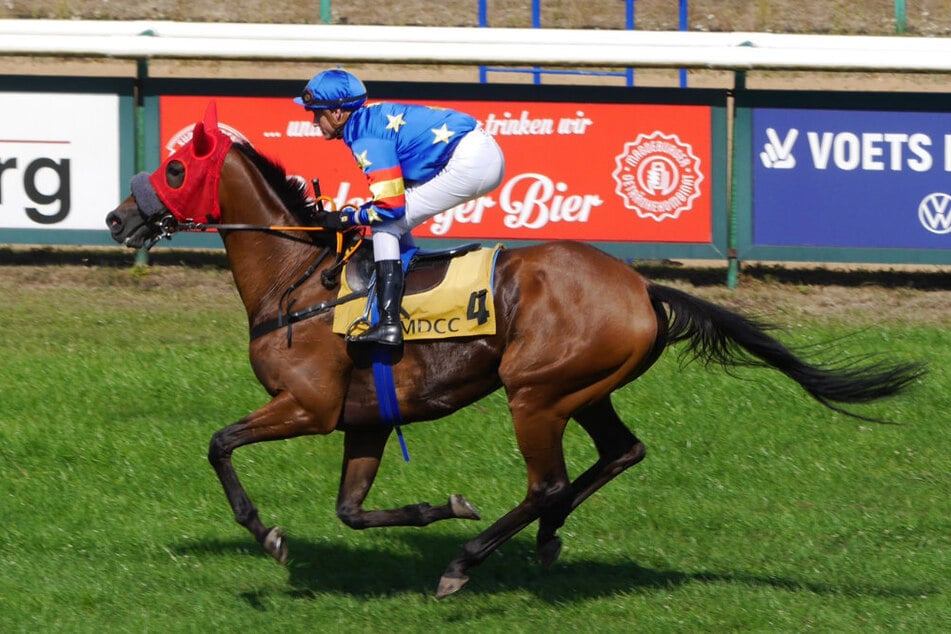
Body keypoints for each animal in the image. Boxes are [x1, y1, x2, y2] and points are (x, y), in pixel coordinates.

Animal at [104, 105, 924, 596]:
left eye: (175, 169)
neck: (297, 279)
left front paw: (268, 535)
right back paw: (545, 541)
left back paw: (467, 564)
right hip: (583, 388)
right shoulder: (364, 418)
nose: (116, 218)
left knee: (547, 481)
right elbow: (352, 511)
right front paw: (438, 505)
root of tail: (641, 286)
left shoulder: (307, 405)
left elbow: (220, 444)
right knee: (617, 454)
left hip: (535, 393)